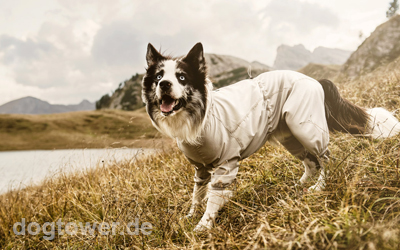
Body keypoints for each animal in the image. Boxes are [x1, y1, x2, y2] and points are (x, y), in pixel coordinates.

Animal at [141, 42, 400, 231]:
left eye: (182, 77)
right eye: (158, 77)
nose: (164, 85)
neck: (200, 115)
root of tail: (315, 81)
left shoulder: (226, 165)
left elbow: (213, 199)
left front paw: (202, 227)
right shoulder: (200, 168)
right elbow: (197, 195)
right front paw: (189, 217)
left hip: (306, 128)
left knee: (326, 159)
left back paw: (319, 187)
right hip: (291, 136)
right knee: (311, 162)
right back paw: (300, 185)